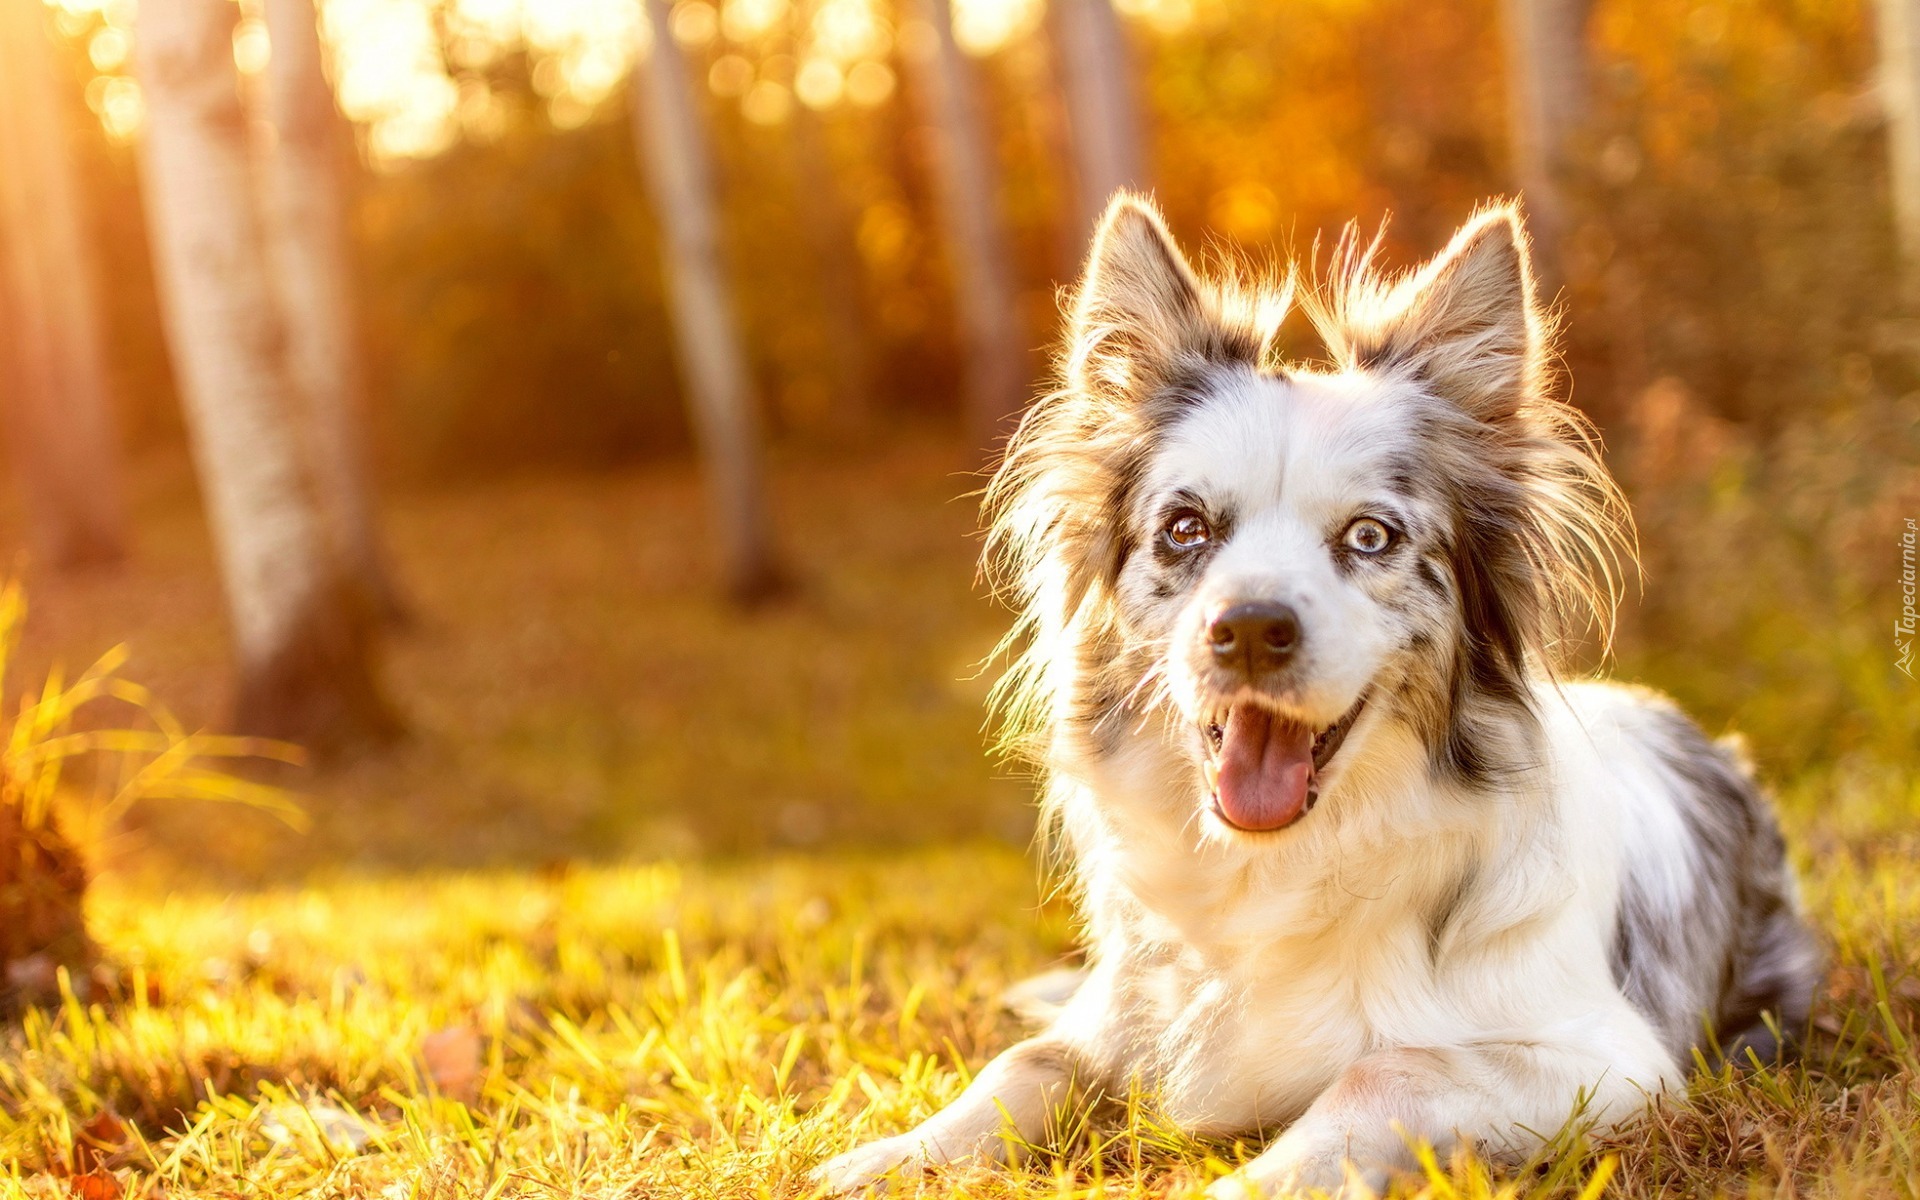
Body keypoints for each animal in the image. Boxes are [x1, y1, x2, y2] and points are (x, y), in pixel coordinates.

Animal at [814, 196, 1827, 1190]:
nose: (1250, 629)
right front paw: (883, 1157)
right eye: (1185, 528)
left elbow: (1388, 1069)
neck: (1282, 866)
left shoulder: (1610, 1061)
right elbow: (1022, 1065)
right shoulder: (1116, 1018)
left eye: (1371, 537)